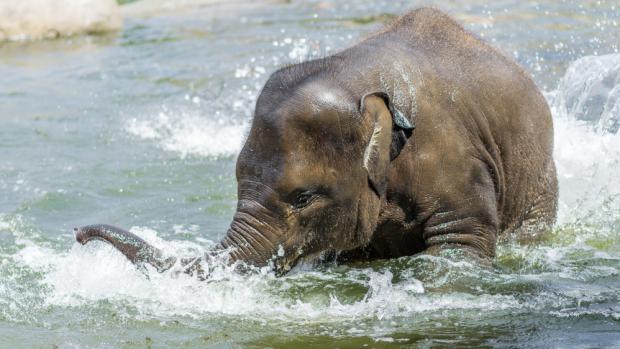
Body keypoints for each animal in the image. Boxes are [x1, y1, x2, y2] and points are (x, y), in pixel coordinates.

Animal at [75, 6, 560, 276]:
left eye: (304, 198)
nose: (78, 234)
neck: (356, 83)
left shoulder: (454, 161)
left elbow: (460, 245)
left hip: (540, 183)